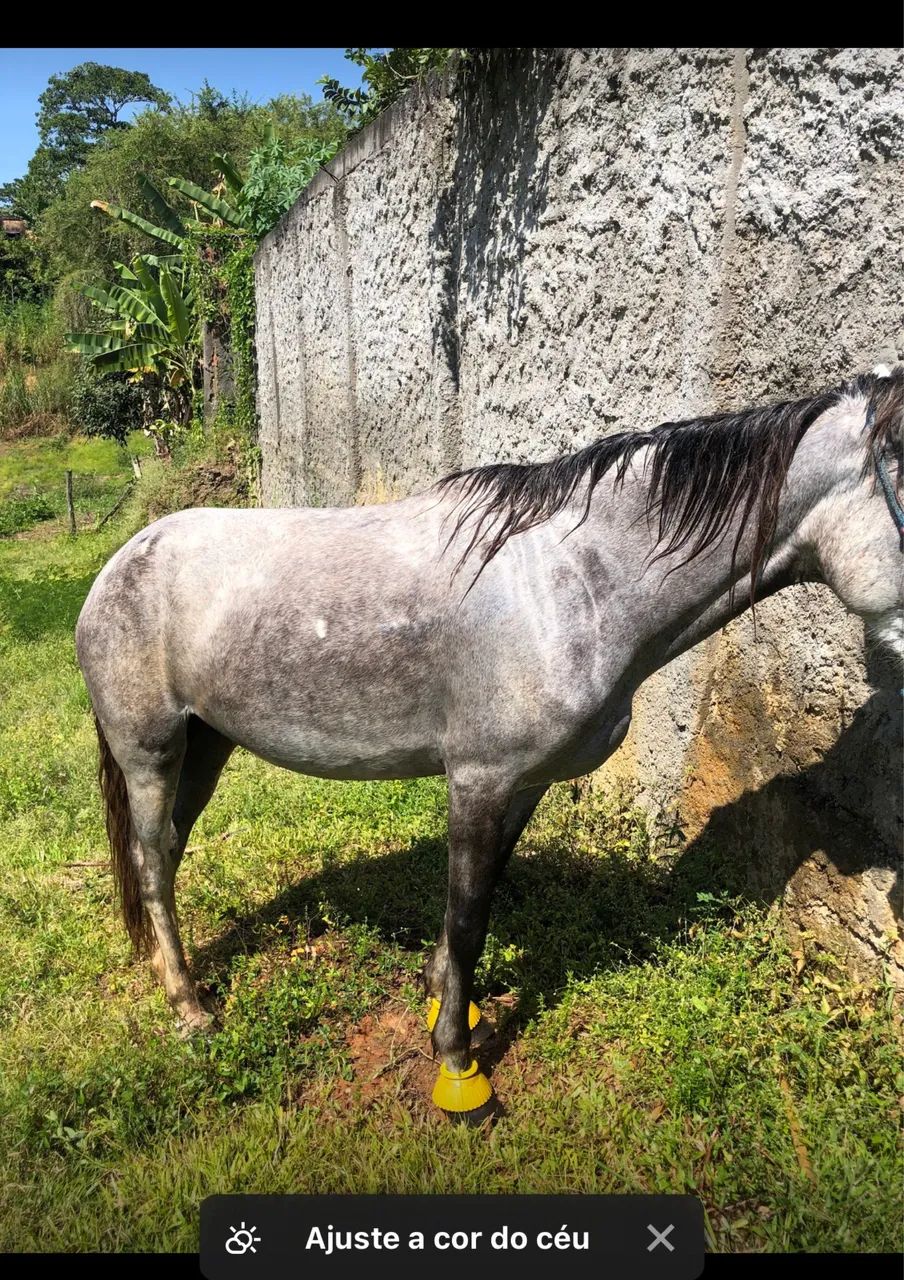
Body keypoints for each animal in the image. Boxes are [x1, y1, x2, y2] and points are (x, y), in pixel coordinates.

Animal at [76, 366, 903, 1118]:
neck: (575, 585)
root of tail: (118, 564)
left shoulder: (523, 784)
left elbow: (479, 902)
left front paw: (448, 1002)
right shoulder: (478, 779)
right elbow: (469, 917)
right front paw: (458, 1068)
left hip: (206, 748)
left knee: (169, 851)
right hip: (152, 754)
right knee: (152, 864)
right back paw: (190, 1009)